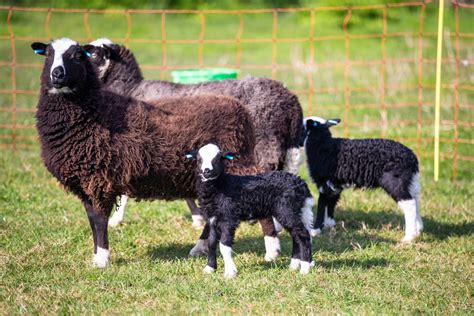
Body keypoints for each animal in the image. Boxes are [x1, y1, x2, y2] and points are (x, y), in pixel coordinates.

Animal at [30, 38, 282, 268]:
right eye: (48, 54)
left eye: (79, 55)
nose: (57, 74)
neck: (96, 110)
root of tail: (241, 111)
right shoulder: (86, 182)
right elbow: (92, 220)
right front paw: (97, 257)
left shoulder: (99, 179)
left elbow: (100, 221)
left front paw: (102, 259)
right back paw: (199, 247)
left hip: (237, 165)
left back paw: (272, 250)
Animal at [185, 144, 314, 278]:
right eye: (199, 159)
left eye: (217, 159)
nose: (207, 171)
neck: (221, 186)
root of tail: (301, 184)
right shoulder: (212, 219)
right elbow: (211, 243)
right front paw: (209, 268)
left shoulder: (228, 218)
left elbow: (224, 246)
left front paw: (230, 272)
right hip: (294, 211)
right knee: (297, 235)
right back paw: (294, 266)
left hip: (287, 210)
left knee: (303, 235)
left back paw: (304, 268)